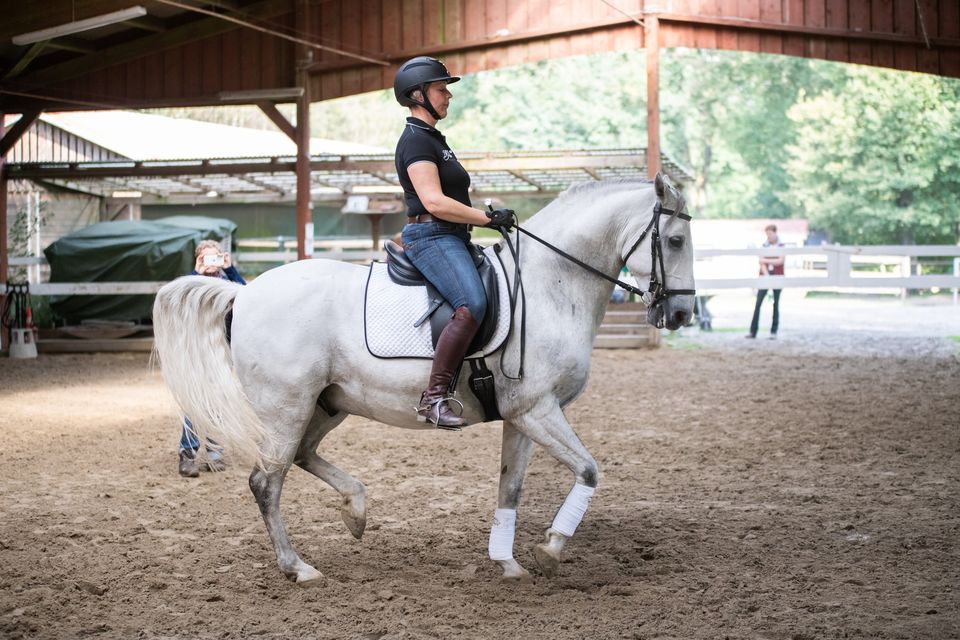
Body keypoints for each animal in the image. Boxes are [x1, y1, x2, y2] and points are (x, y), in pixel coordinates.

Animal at [156, 175, 696, 584]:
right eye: (674, 240)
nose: (681, 314)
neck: (550, 284)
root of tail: (243, 295)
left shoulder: (522, 416)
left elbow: (510, 489)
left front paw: (508, 562)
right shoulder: (537, 410)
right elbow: (588, 470)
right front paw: (552, 549)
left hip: (326, 404)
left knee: (303, 456)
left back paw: (355, 510)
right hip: (285, 408)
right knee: (267, 482)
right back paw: (298, 567)